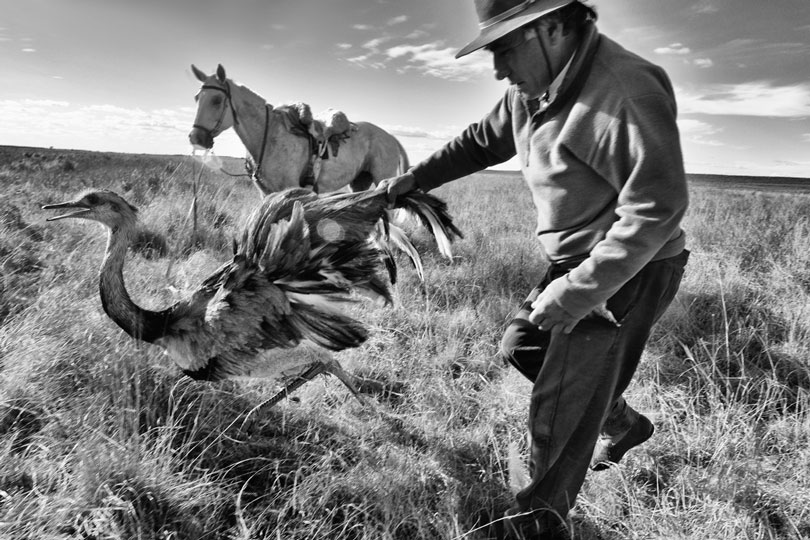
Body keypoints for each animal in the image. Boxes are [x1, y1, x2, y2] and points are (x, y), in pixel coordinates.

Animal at [186, 65, 408, 196]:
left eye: (217, 100)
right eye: (196, 98)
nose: (196, 137)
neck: (269, 136)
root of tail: (391, 137)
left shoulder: (290, 190)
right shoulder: (266, 193)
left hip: (382, 179)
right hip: (359, 182)